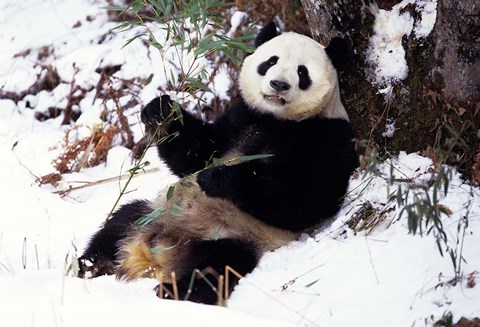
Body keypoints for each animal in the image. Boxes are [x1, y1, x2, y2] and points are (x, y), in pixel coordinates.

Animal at [78, 22, 356, 304]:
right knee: (118, 224)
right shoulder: (242, 117)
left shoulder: (328, 135)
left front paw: (217, 178)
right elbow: (196, 153)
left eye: (302, 72)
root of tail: (158, 251)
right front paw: (161, 112)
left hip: (234, 237)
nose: (278, 84)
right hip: (155, 211)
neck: (278, 119)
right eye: (271, 61)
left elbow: (307, 199)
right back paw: (93, 264)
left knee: (214, 267)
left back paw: (173, 290)